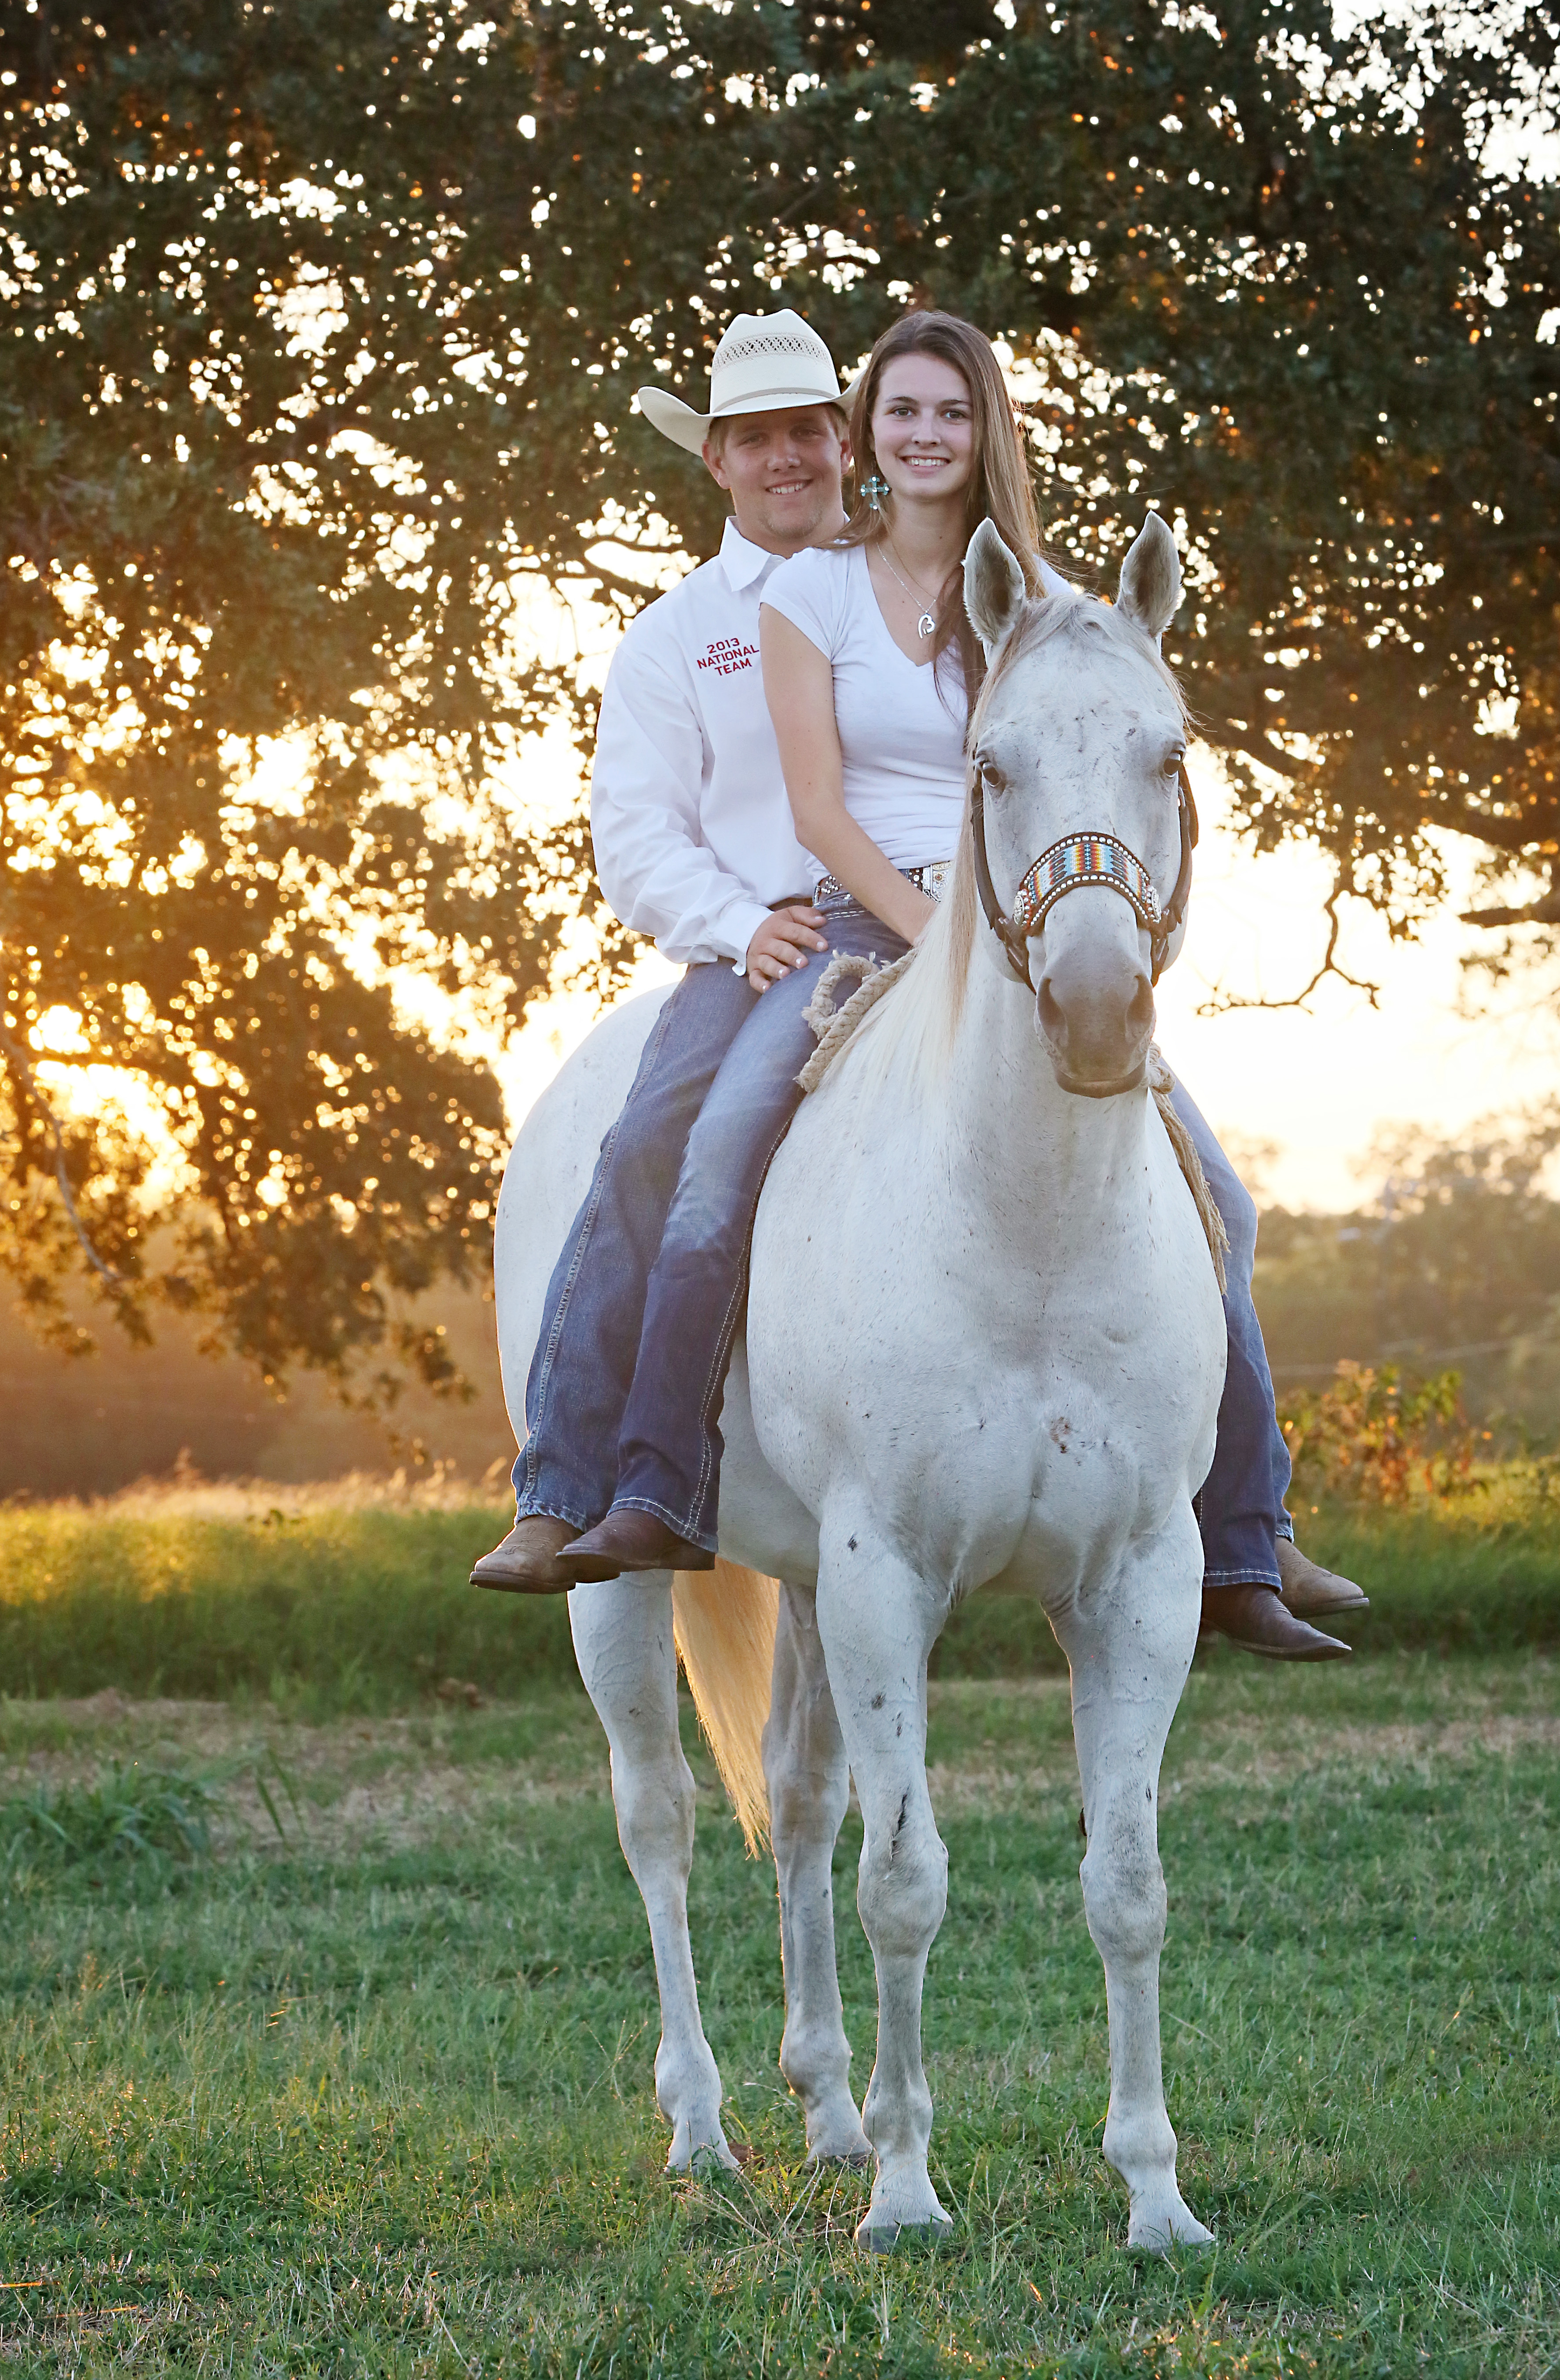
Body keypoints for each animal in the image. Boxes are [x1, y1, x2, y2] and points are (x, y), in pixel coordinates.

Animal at [495, 516, 1229, 2247]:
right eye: (987, 765)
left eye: (1167, 754)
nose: (1094, 1013)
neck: (1023, 1229)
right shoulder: (886, 1572)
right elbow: (906, 1878)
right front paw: (906, 2193)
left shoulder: (1135, 1580)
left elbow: (1122, 1883)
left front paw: (1151, 2191)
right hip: (626, 1589)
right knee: (661, 1818)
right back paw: (706, 2131)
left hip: (799, 1585)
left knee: (799, 1804)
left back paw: (825, 2106)